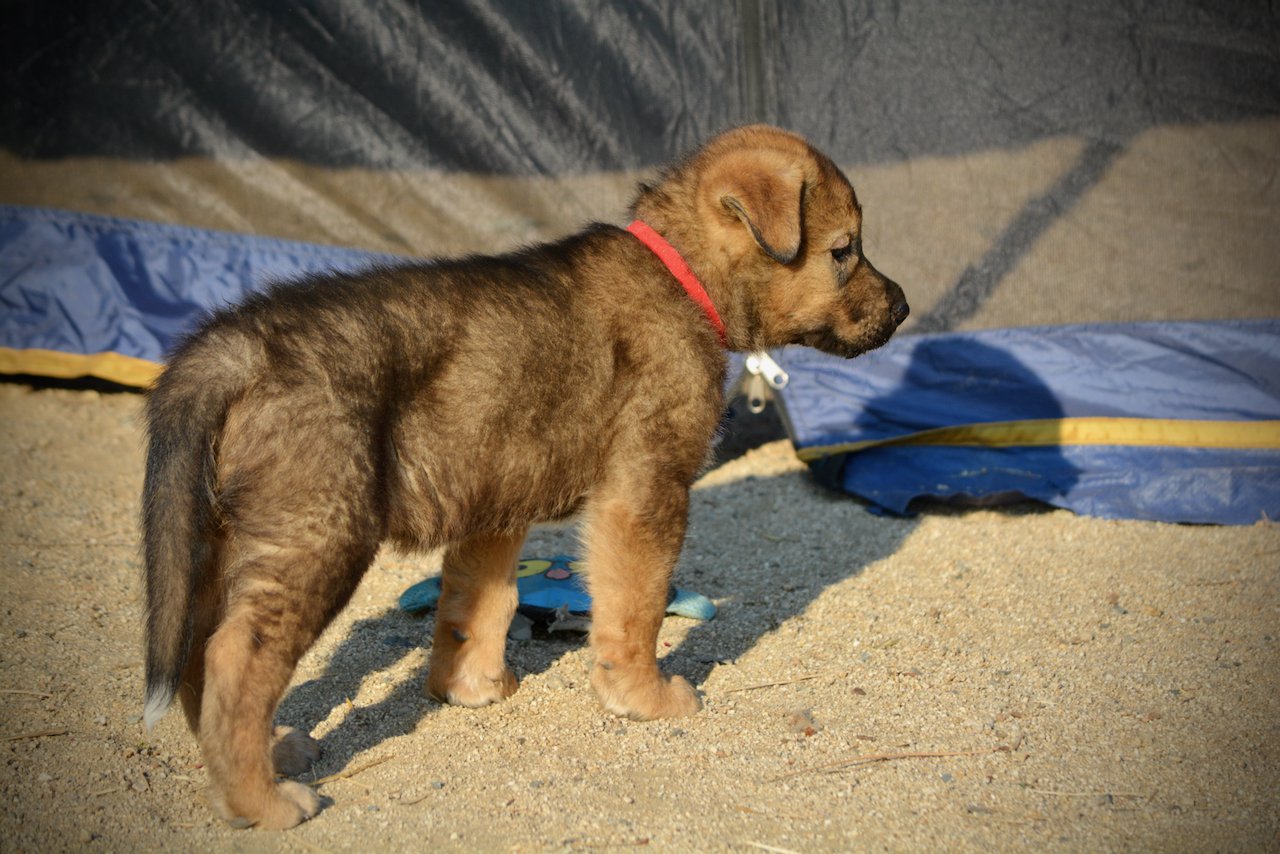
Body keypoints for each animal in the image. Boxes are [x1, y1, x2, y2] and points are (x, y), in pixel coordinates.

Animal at [142, 126, 911, 829]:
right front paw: (645, 698)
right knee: (237, 656)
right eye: (843, 249)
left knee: (198, 651)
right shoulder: (644, 490)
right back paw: (261, 801)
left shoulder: (495, 493)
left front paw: (469, 687)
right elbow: (636, 606)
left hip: (215, 537)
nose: (904, 308)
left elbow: (479, 603)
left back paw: (262, 754)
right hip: (318, 533)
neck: (682, 277)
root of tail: (231, 347)